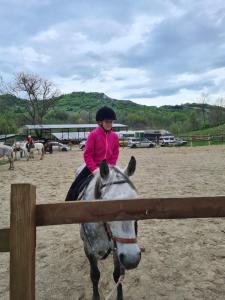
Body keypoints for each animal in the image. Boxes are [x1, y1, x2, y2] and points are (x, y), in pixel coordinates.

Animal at [78, 158, 140, 298]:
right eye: (105, 203)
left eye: (136, 198)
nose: (132, 259)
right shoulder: (89, 250)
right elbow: (95, 275)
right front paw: (95, 296)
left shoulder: (117, 249)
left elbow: (117, 275)